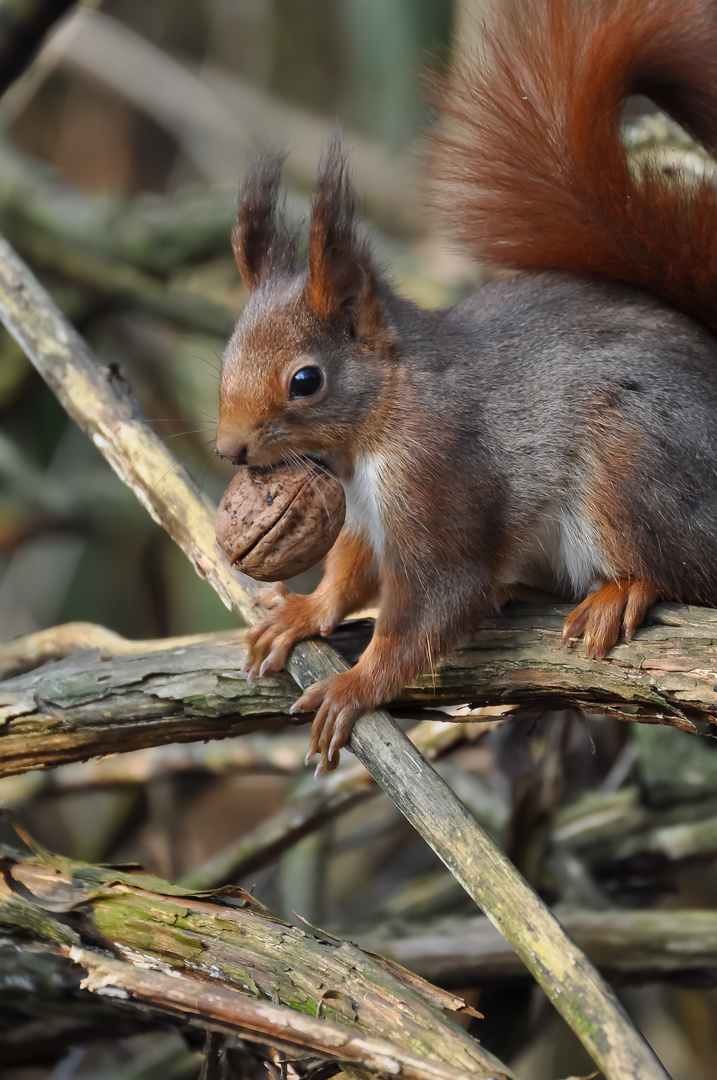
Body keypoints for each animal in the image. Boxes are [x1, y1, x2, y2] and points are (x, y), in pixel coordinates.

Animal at [215, 0, 717, 777]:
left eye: (305, 380)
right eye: (228, 352)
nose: (229, 449)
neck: (381, 421)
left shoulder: (437, 477)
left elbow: (436, 600)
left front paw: (357, 686)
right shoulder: (364, 516)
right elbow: (349, 573)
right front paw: (303, 612)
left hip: (635, 465)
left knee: (684, 567)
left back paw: (621, 590)